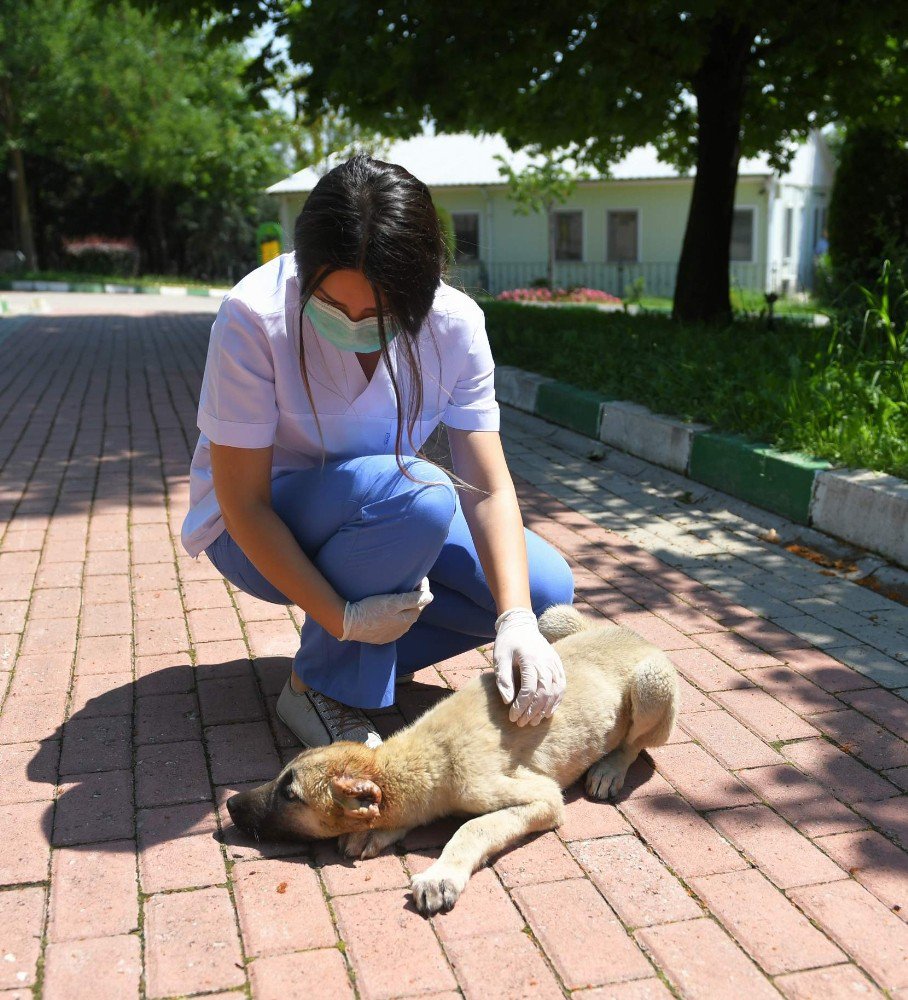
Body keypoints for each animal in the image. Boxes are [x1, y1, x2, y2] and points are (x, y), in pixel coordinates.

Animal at [227, 600, 680, 916]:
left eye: (291, 795)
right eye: (281, 778)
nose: (230, 807)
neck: (427, 757)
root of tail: (635, 635)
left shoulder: (543, 797)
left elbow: (472, 828)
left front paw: (441, 875)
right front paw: (376, 830)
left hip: (651, 683)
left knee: (635, 743)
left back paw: (610, 768)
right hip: (553, 621)